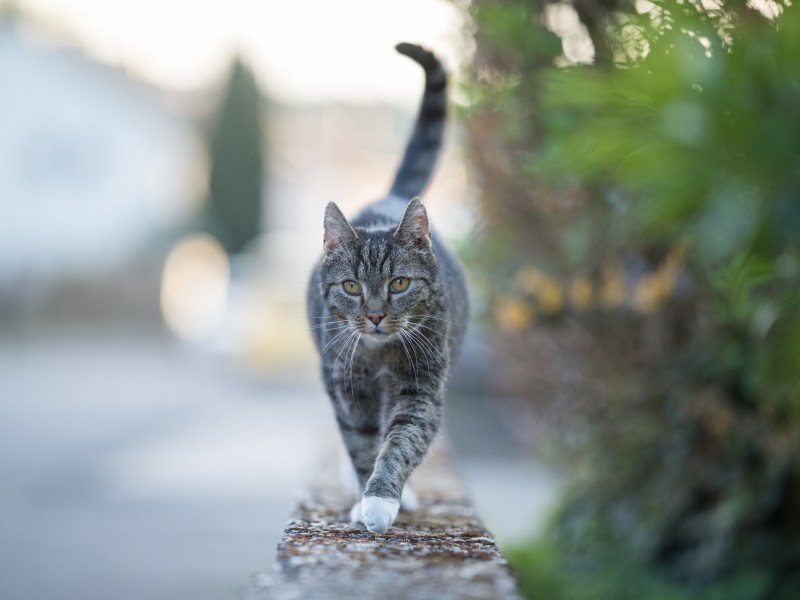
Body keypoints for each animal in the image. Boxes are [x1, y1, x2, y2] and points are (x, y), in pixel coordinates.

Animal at [304, 45, 468, 536]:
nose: (375, 316)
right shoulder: (347, 386)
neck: (379, 356)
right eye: (351, 286)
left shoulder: (421, 387)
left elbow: (401, 442)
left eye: (399, 283)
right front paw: (364, 500)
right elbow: (361, 444)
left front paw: (381, 500)